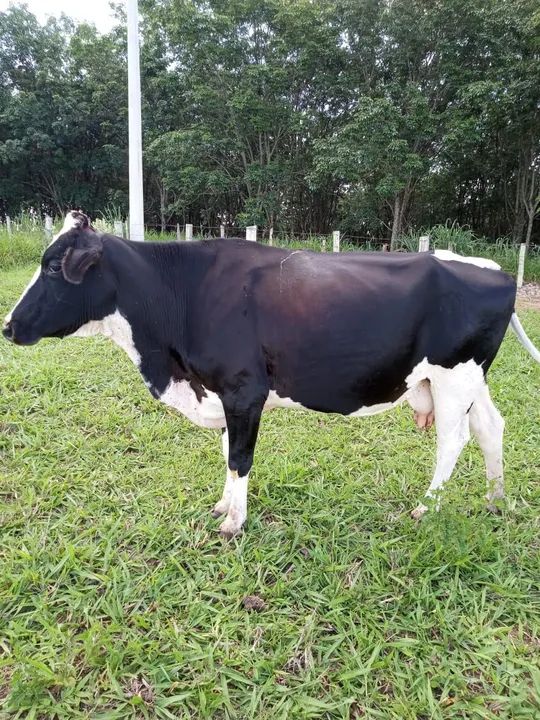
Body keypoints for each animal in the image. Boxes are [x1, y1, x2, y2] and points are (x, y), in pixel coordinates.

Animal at [3, 211, 539, 537]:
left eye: (53, 267)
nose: (8, 325)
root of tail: (495, 270)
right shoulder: (221, 392)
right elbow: (226, 453)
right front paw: (224, 507)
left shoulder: (244, 390)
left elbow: (240, 457)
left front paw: (233, 523)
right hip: (470, 380)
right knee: (490, 427)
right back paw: (496, 499)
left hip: (454, 377)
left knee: (454, 440)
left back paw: (428, 506)